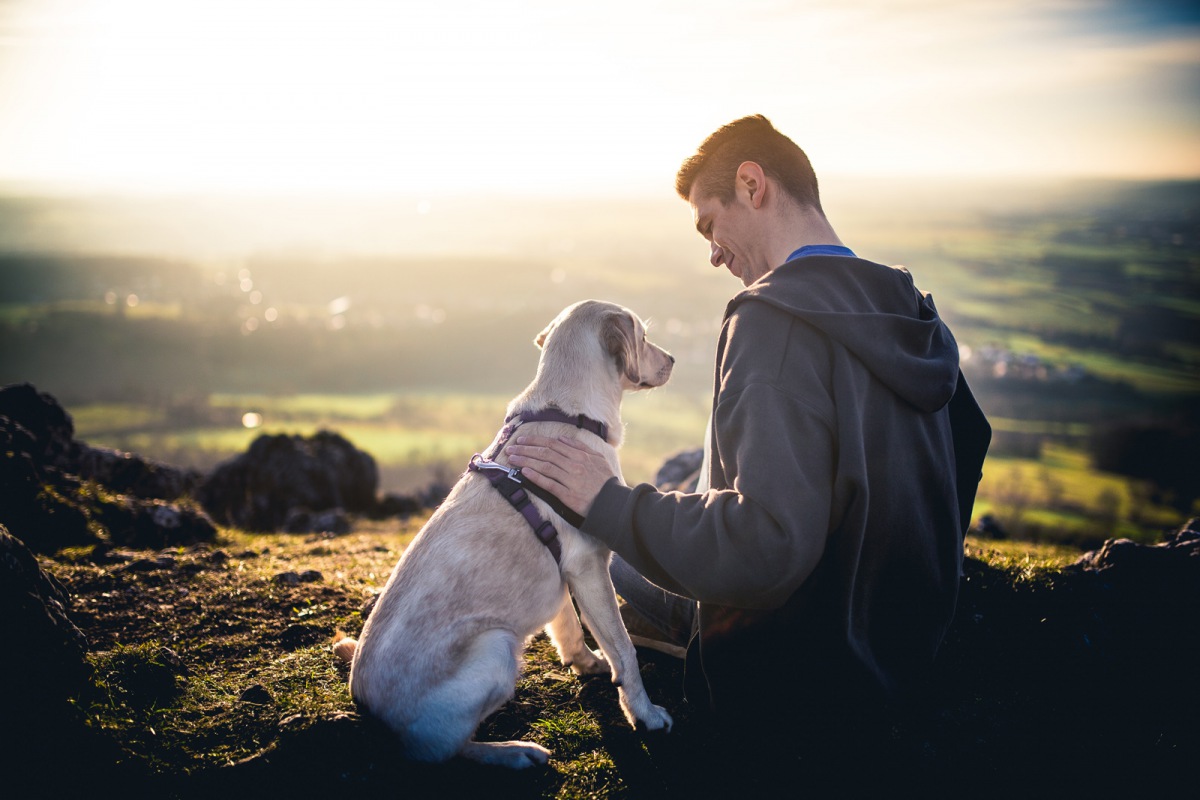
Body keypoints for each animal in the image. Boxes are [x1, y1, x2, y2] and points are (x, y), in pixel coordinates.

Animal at [333, 299, 676, 767]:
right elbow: (625, 649)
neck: (567, 411)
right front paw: (645, 713)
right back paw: (512, 753)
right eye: (644, 337)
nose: (673, 360)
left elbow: (568, 627)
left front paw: (586, 663)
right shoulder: (590, 567)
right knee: (442, 749)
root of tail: (368, 708)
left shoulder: (565, 571)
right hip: (497, 648)